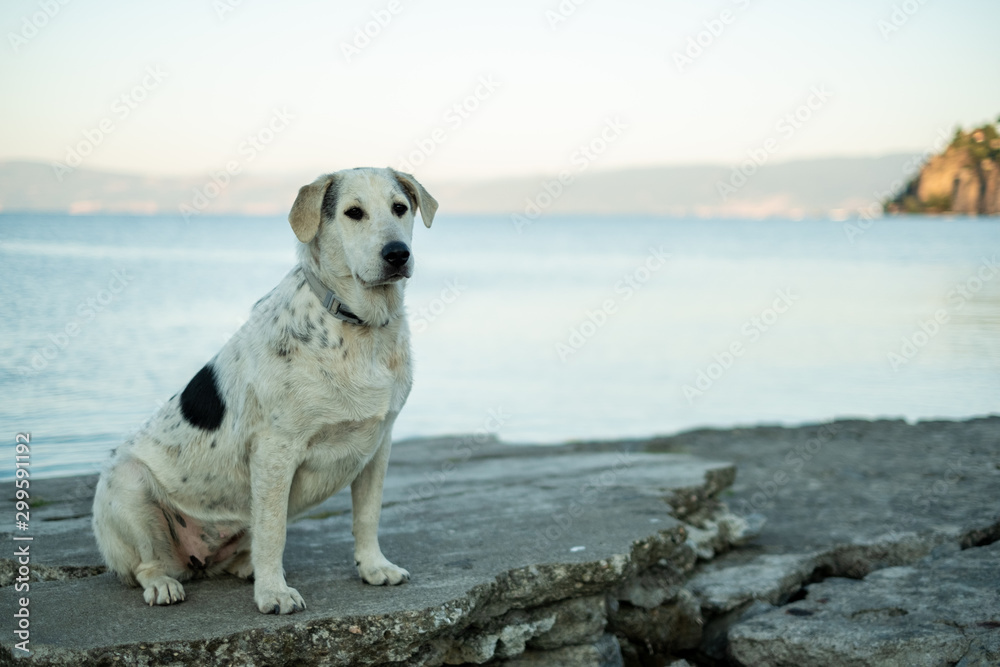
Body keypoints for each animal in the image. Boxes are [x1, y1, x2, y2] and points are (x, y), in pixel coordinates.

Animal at [92, 168, 436, 616]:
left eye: (400, 208)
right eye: (353, 213)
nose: (397, 254)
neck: (357, 326)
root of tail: (198, 560)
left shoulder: (379, 444)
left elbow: (368, 516)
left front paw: (374, 567)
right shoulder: (276, 450)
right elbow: (274, 531)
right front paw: (274, 593)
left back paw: (245, 566)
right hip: (128, 483)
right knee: (147, 566)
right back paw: (165, 584)